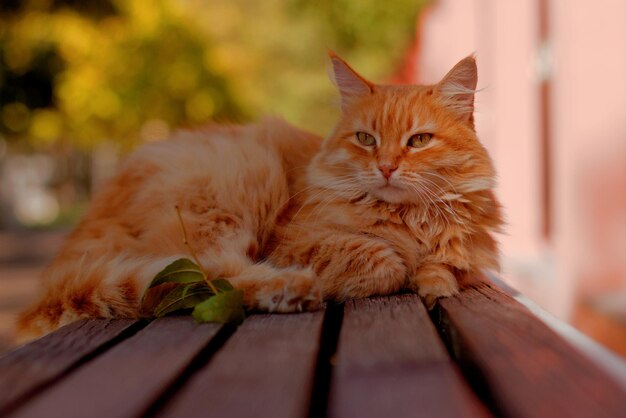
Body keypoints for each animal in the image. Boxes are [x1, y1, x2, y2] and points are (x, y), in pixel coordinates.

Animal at [18, 53, 502, 340]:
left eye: (419, 141)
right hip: (241, 180)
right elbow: (385, 260)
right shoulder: (294, 241)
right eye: (366, 139)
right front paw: (404, 269)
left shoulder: (466, 252)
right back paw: (293, 290)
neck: (410, 219)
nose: (385, 168)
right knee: (211, 278)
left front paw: (432, 277)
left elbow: (446, 270)